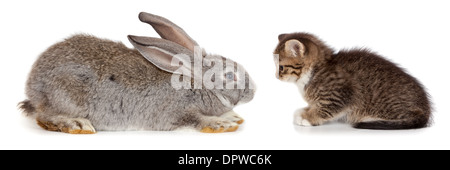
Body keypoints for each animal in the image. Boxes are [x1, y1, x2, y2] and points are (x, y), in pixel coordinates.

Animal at [19, 11, 255, 134]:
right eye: (230, 76)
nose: (253, 92)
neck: (196, 85)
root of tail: (34, 87)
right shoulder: (174, 113)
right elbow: (194, 119)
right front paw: (221, 123)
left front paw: (233, 117)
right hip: (66, 95)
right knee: (44, 116)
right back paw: (76, 124)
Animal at [274, 32, 432, 129]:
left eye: (281, 67)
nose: (276, 76)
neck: (315, 71)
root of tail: (426, 110)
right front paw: (306, 110)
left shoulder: (340, 94)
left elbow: (326, 109)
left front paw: (309, 117)